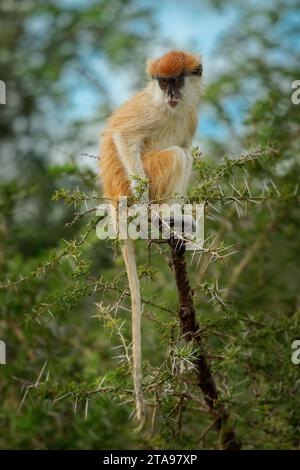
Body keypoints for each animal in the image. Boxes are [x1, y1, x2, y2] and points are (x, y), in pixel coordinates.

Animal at [99, 50, 203, 422]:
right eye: (162, 82)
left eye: (176, 81)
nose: (170, 94)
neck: (170, 107)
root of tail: (114, 203)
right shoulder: (150, 113)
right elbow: (124, 137)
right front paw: (150, 211)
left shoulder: (190, 115)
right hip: (141, 181)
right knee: (176, 156)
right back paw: (158, 216)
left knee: (182, 153)